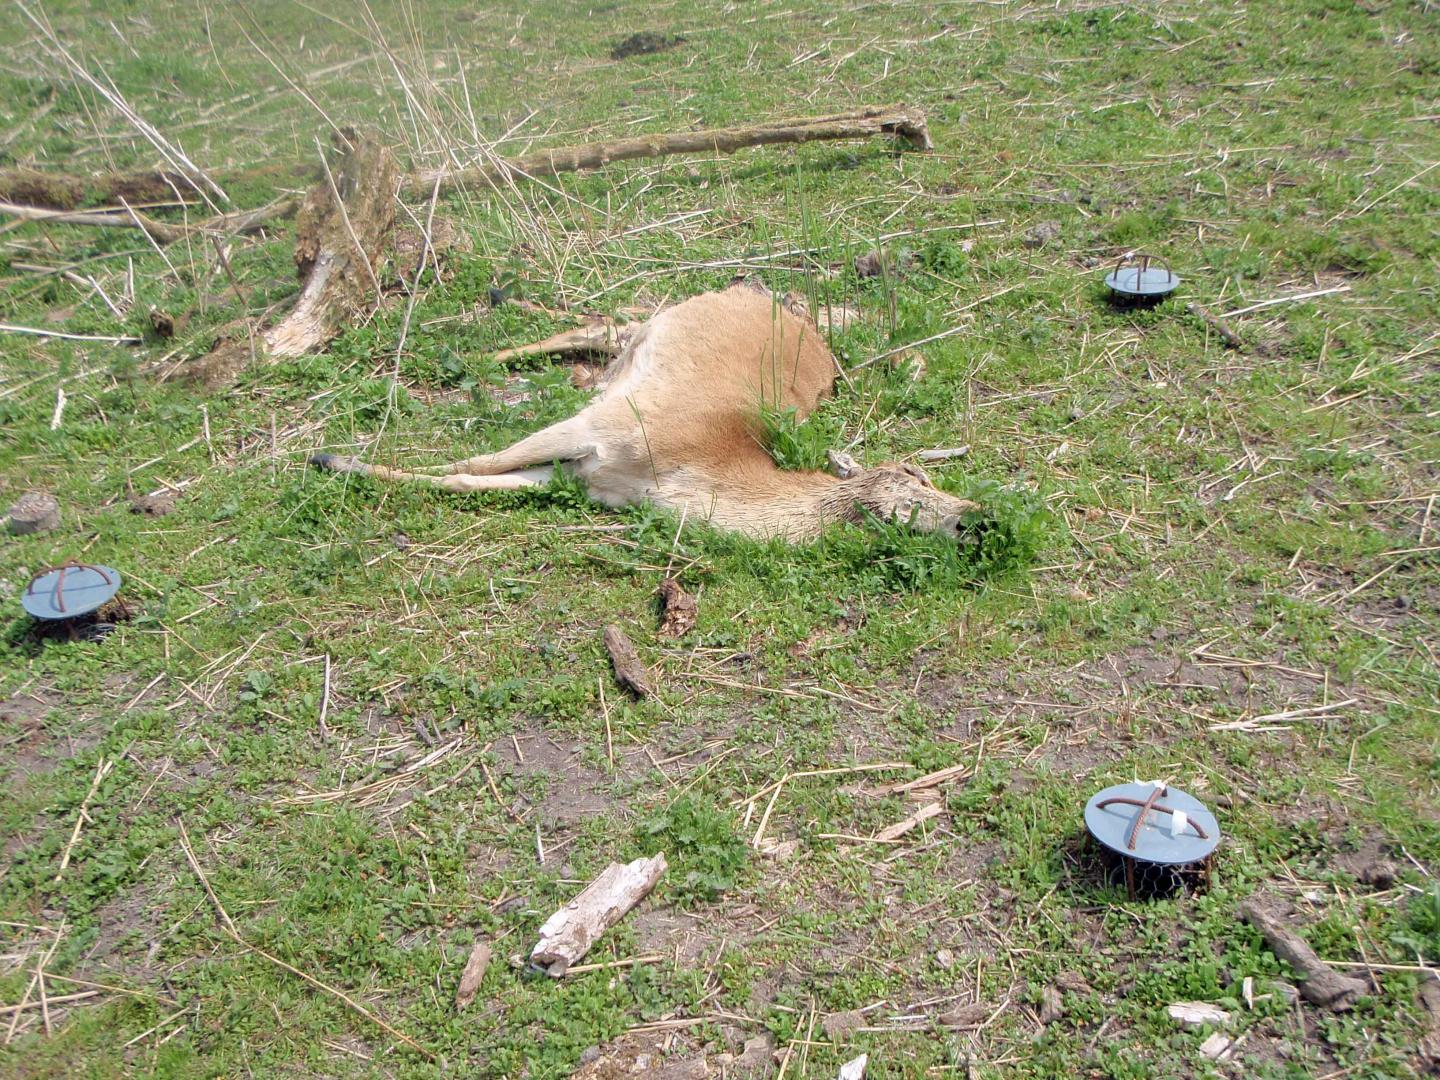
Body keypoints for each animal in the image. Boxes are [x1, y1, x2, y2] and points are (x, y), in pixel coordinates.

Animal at [310, 281, 978, 542]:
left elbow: (469, 480)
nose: (977, 517)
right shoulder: (596, 428)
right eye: (912, 479)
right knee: (598, 319)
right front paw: (327, 456)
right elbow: (474, 460)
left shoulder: (582, 477)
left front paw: (335, 459)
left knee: (605, 326)